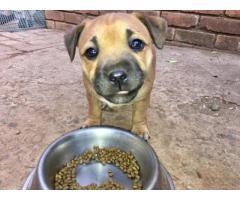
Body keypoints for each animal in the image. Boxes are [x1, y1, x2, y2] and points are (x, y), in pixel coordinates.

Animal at [64, 12, 168, 140]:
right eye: (91, 52)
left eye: (137, 44)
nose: (117, 76)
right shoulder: (91, 91)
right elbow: (93, 109)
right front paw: (92, 123)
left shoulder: (143, 94)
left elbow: (139, 113)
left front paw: (139, 129)